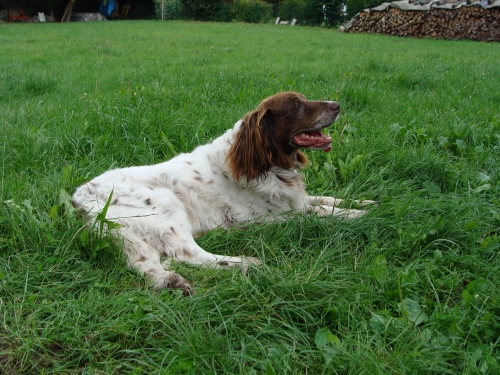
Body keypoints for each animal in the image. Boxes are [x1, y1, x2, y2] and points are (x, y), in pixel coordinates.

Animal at [72, 91, 374, 290]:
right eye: (296, 105)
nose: (337, 105)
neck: (266, 162)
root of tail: (79, 200)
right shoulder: (270, 217)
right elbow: (323, 211)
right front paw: (359, 216)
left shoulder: (296, 200)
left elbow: (327, 198)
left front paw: (366, 203)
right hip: (166, 203)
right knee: (188, 253)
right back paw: (247, 263)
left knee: (148, 262)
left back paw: (172, 281)